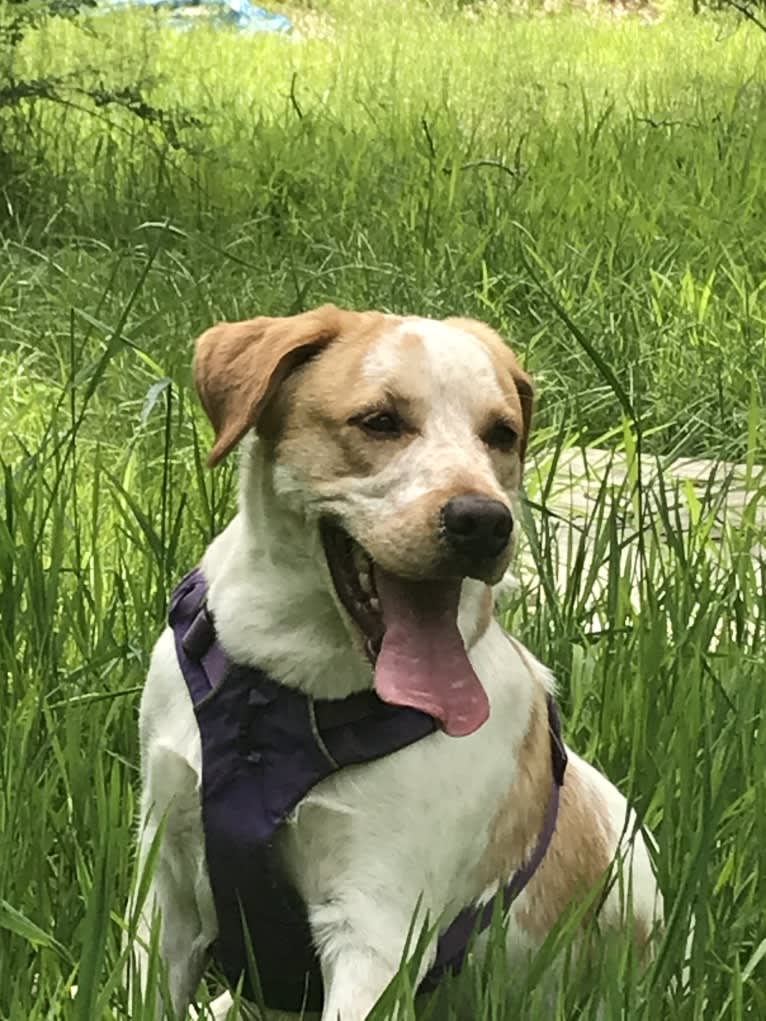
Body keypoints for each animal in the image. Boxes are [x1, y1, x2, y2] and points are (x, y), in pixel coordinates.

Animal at [129, 304, 661, 1021]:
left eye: (501, 434)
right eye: (380, 421)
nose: (483, 521)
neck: (281, 690)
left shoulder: (375, 927)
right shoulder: (167, 886)